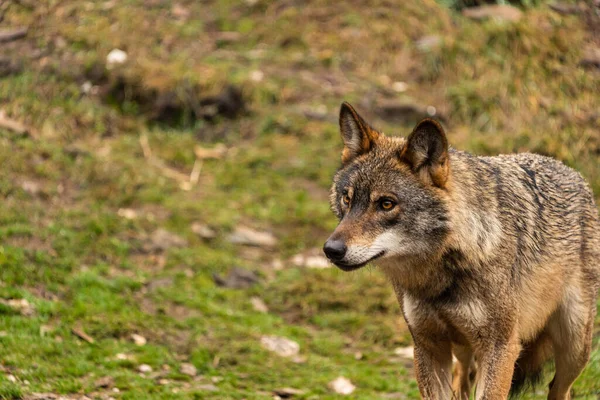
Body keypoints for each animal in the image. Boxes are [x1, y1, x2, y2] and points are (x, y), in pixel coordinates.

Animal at [324, 103, 600, 400]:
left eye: (386, 204)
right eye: (347, 199)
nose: (331, 250)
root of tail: (571, 171)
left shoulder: (501, 347)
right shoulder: (427, 346)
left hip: (575, 347)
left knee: (560, 389)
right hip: (462, 345)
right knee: (463, 374)